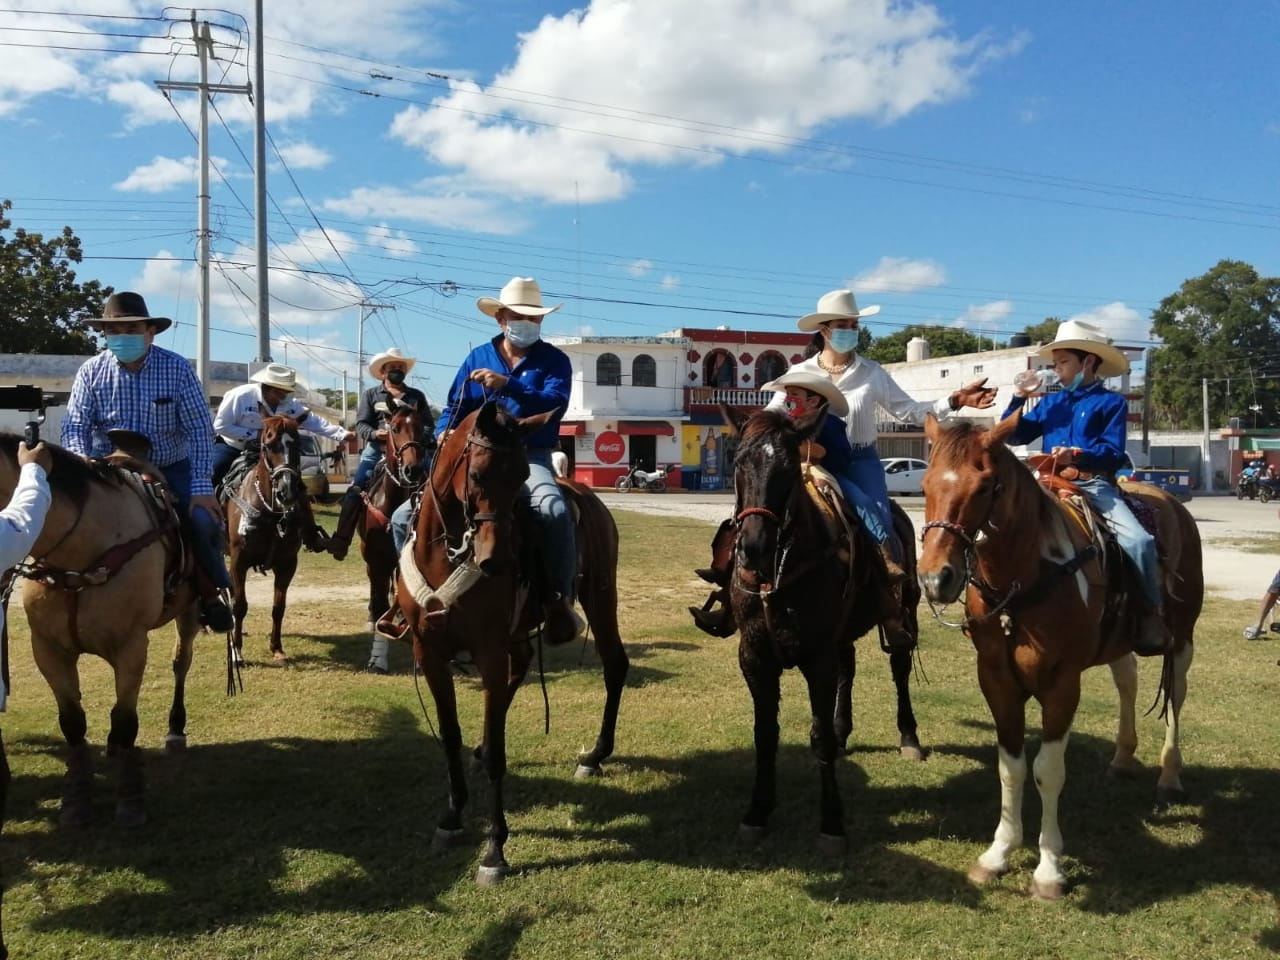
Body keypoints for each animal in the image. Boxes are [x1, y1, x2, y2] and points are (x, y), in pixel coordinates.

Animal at [1, 435, 199, 834]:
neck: (78, 557)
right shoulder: (48, 650)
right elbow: (73, 723)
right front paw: (76, 799)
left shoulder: (131, 647)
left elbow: (125, 721)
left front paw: (130, 801)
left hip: (188, 614)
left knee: (180, 663)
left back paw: (175, 728)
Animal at [222, 417, 307, 665]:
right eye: (269, 446)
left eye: (298, 445)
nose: (287, 491)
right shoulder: (239, 561)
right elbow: (240, 605)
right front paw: (237, 652)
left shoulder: (287, 564)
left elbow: (278, 607)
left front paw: (277, 648)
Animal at [391, 399, 627, 885]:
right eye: (479, 474)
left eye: (520, 477)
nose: (496, 560)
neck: (446, 554)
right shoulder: (430, 651)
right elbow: (449, 735)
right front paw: (451, 817)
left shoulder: (488, 649)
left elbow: (501, 753)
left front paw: (494, 851)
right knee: (521, 666)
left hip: (600, 595)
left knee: (614, 664)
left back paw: (595, 755)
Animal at [721, 401, 921, 855]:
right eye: (738, 463)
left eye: (788, 469)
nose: (753, 548)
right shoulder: (754, 657)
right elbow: (765, 734)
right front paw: (757, 811)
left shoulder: (818, 658)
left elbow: (819, 738)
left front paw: (832, 822)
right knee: (850, 667)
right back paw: (845, 729)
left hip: (905, 613)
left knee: (900, 669)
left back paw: (909, 738)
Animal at [921, 414, 1198, 901]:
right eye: (924, 483)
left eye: (984, 486)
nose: (937, 579)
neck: (1023, 579)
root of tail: (1171, 501)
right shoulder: (996, 681)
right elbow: (1010, 768)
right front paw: (997, 854)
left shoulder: (1062, 684)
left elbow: (1047, 771)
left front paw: (1049, 870)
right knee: (1127, 680)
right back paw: (1122, 758)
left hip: (1182, 638)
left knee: (1176, 699)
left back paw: (1169, 776)